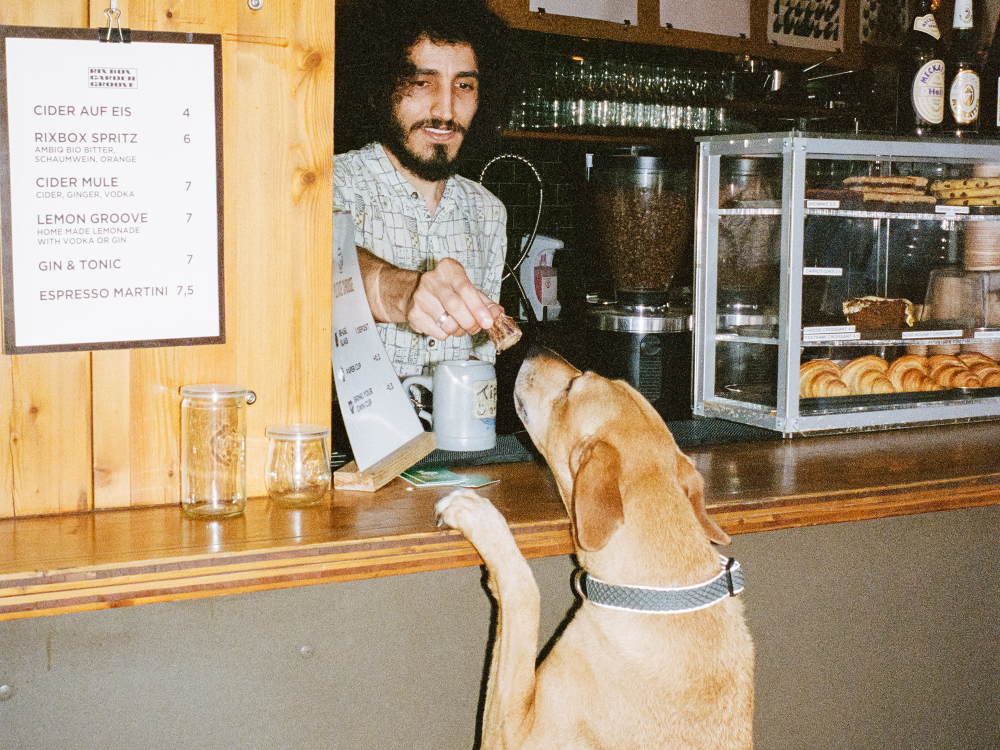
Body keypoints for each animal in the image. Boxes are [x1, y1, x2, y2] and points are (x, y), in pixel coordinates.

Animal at [434, 350, 752, 748]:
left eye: (573, 386)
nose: (536, 348)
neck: (654, 589)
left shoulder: (512, 732)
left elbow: (524, 593)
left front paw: (479, 517)